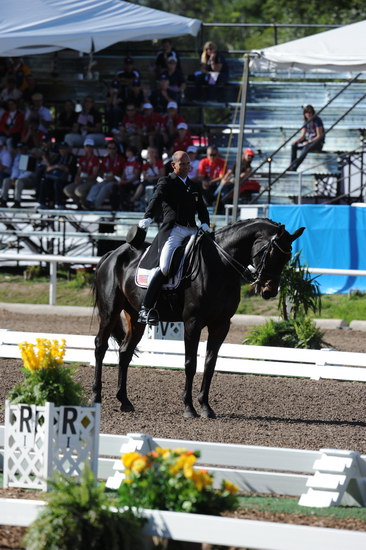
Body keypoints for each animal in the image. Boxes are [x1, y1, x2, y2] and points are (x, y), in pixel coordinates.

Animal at [93, 219, 304, 418]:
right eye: (271, 253)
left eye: (287, 257)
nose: (269, 291)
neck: (221, 265)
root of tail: (112, 254)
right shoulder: (192, 323)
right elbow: (190, 363)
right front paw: (189, 407)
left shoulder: (221, 325)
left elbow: (210, 364)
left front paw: (206, 407)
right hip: (110, 312)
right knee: (100, 346)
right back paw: (96, 397)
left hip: (135, 317)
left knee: (125, 352)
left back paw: (125, 401)